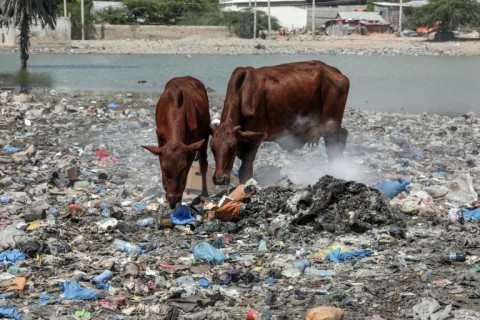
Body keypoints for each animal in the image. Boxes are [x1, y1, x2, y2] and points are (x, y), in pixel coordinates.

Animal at [142, 76, 211, 209]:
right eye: (165, 169)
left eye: (182, 169)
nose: (173, 198)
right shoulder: (160, 141)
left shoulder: (190, 148)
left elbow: (185, 178)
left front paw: (178, 203)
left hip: (205, 135)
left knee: (203, 164)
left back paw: (204, 193)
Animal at [210, 60, 348, 185]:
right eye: (212, 148)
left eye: (233, 147)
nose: (219, 179)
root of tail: (335, 71)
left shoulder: (256, 139)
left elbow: (245, 171)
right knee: (343, 136)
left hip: (330, 125)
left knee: (333, 151)